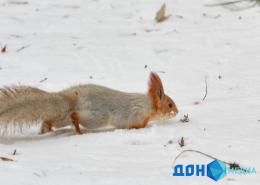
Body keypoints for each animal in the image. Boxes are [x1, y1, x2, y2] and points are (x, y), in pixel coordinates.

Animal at [0, 72, 177, 134]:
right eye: (170, 104)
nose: (177, 112)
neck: (149, 105)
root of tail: (72, 98)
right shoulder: (136, 113)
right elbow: (136, 124)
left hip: (61, 118)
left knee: (51, 121)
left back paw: (45, 129)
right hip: (96, 117)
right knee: (75, 116)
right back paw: (77, 129)